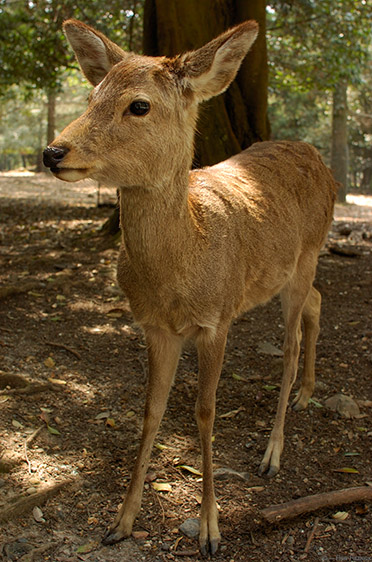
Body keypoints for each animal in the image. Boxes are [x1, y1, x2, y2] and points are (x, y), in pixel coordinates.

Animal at [42, 18, 338, 556]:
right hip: (289, 272)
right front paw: (120, 522)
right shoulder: (154, 326)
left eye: (139, 105)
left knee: (289, 345)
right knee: (317, 301)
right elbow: (150, 410)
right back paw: (306, 395)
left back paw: (273, 452)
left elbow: (204, 411)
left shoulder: (216, 319)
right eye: (92, 94)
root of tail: (315, 154)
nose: (52, 152)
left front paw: (211, 531)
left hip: (308, 251)